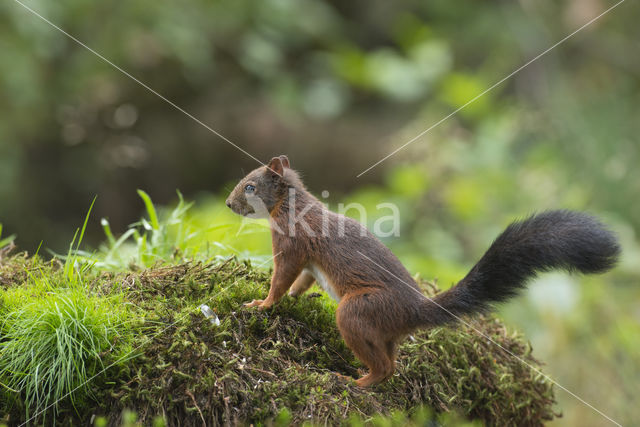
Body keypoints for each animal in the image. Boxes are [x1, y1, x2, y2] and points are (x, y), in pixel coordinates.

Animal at [225, 155, 620, 386]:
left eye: (250, 186)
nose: (228, 204)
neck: (290, 205)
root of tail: (415, 310)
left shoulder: (292, 245)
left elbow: (282, 276)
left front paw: (263, 303)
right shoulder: (308, 262)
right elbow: (303, 281)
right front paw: (293, 298)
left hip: (359, 310)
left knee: (385, 366)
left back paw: (356, 383)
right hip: (384, 330)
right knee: (391, 360)